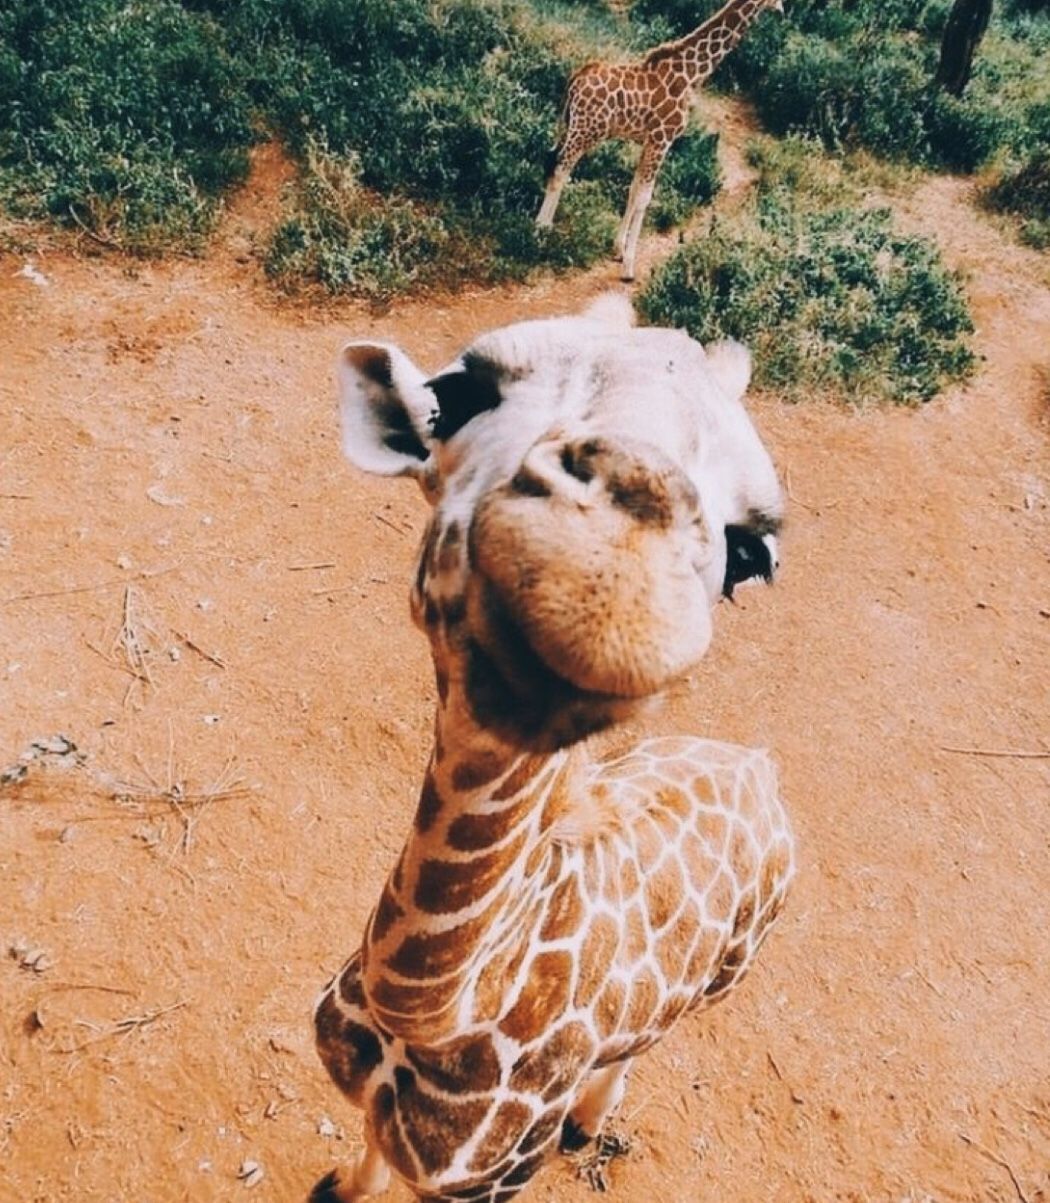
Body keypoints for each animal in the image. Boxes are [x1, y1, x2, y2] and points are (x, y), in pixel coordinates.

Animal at [312, 294, 794, 1202]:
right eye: (456, 394)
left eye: (751, 552)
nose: (606, 584)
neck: (430, 1017)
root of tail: (761, 766)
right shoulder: (370, 1106)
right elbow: (362, 1163)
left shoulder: (494, 1181)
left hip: (728, 974)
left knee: (652, 1040)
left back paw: (588, 1122)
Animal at [536, 0, 785, 281]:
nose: (782, 9)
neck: (691, 74)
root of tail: (576, 79)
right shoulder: (662, 139)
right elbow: (645, 196)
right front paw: (629, 268)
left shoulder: (648, 141)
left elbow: (633, 190)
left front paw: (618, 249)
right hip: (585, 131)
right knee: (560, 168)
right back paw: (541, 229)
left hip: (569, 124)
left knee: (552, 161)